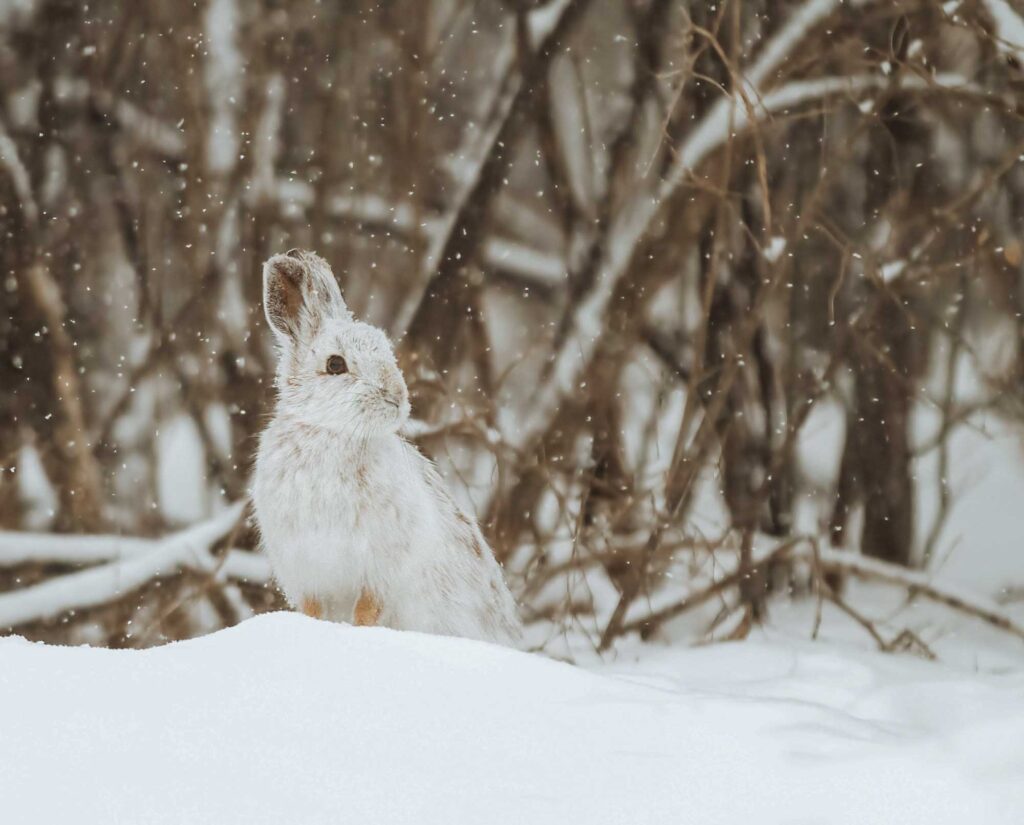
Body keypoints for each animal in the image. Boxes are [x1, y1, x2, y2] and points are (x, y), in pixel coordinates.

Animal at [251, 249, 523, 646]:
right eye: (335, 364)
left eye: (386, 352)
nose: (398, 397)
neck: (332, 434)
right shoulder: (308, 571)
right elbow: (314, 611)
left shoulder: (378, 572)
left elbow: (367, 612)